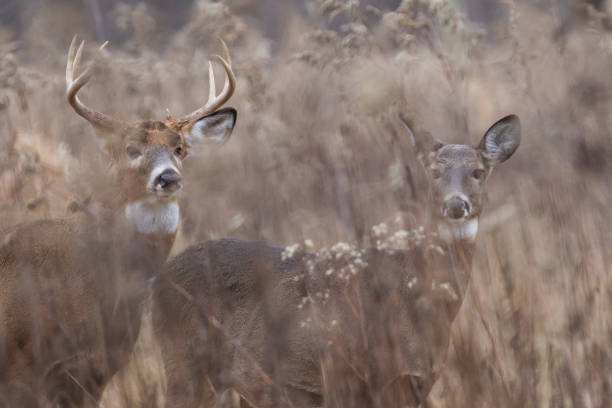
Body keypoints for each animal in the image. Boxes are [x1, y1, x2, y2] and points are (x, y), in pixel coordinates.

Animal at [153, 113, 520, 406]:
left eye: (478, 172)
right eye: (433, 172)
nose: (456, 204)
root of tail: (158, 276)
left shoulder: (414, 383)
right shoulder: (356, 377)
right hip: (183, 365)